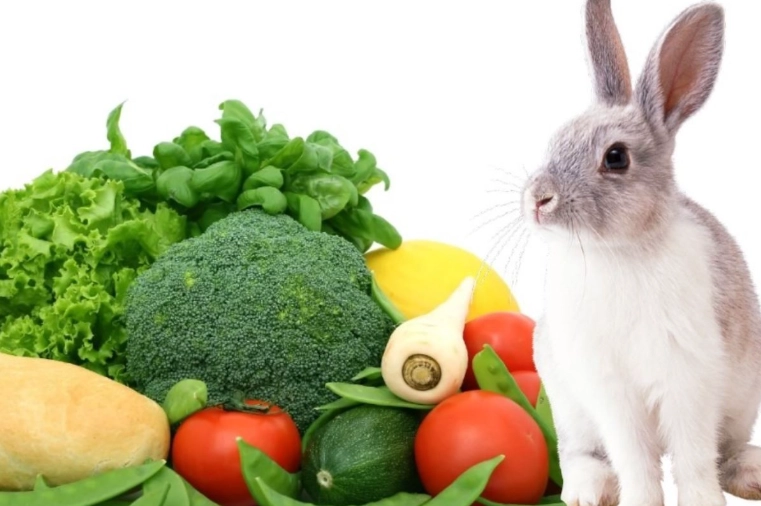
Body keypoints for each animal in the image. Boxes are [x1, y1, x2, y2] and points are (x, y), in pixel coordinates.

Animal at [520, 1, 761, 505]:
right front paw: (640, 499)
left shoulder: (689, 378)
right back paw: (588, 491)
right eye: (556, 140)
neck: (618, 251)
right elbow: (634, 456)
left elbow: (693, 457)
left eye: (616, 157)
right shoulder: (611, 391)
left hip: (741, 403)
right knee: (578, 453)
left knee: (725, 449)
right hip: (569, 409)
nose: (537, 199)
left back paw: (751, 474)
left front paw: (702, 501)